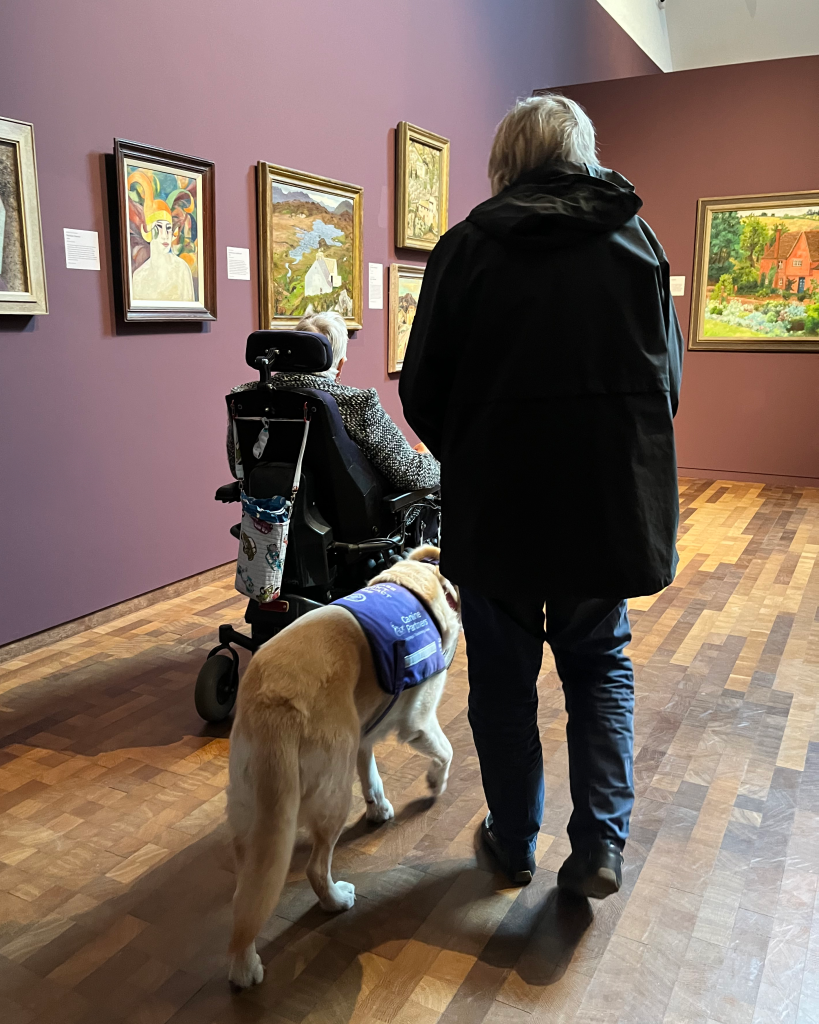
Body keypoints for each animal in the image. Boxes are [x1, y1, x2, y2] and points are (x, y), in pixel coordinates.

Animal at [227, 548, 456, 987]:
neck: (414, 586)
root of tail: (274, 708)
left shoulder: (363, 732)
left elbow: (371, 772)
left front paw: (379, 808)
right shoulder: (417, 720)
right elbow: (446, 750)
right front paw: (435, 782)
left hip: (251, 809)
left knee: (246, 893)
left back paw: (243, 961)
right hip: (332, 793)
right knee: (316, 868)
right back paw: (335, 900)